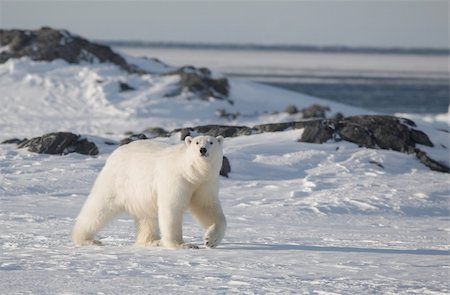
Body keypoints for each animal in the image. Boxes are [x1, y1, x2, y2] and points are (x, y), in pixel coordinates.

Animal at [71, 136, 227, 250]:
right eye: (196, 142)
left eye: (211, 142)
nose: (202, 150)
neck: (191, 173)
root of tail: (114, 155)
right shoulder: (176, 179)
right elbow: (172, 207)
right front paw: (183, 244)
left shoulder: (205, 184)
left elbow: (207, 207)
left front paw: (210, 240)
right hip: (117, 181)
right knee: (99, 207)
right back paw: (86, 239)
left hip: (140, 195)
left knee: (147, 217)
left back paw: (152, 241)